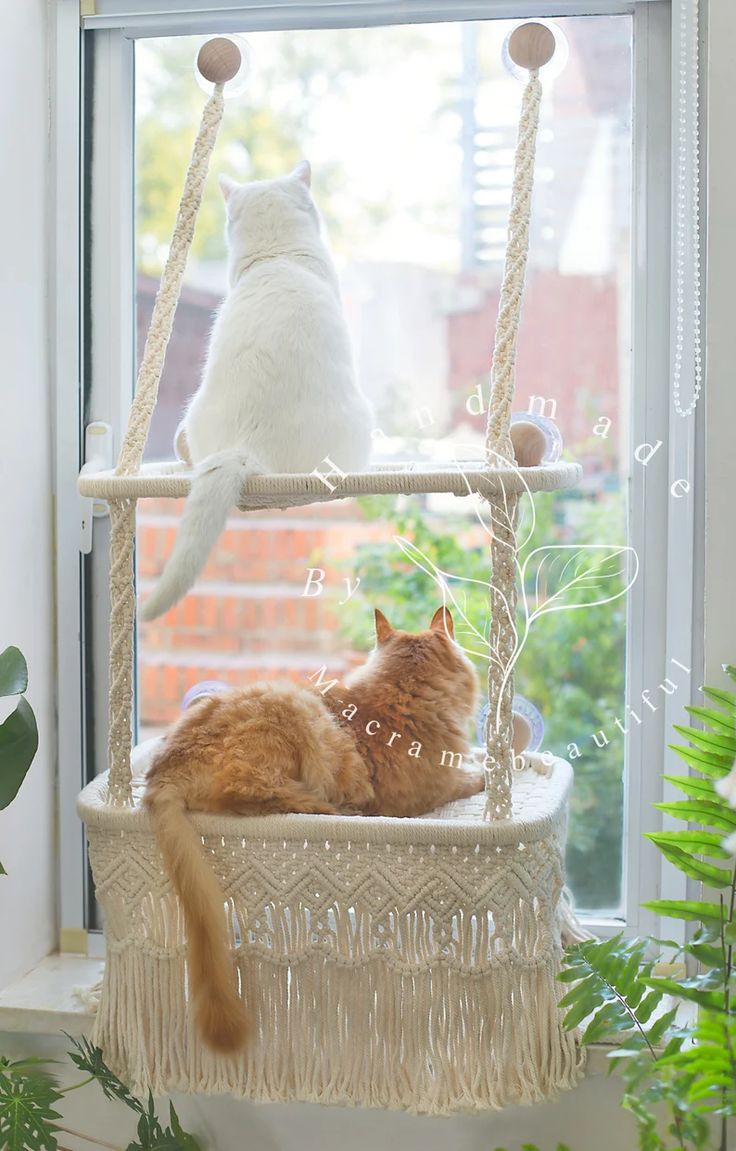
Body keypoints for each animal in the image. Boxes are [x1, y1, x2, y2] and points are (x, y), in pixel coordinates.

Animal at [143, 607, 483, 1054]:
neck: (399, 695)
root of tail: (164, 767)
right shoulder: (427, 795)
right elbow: (468, 778)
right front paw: (489, 774)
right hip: (295, 715)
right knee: (254, 793)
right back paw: (338, 809)